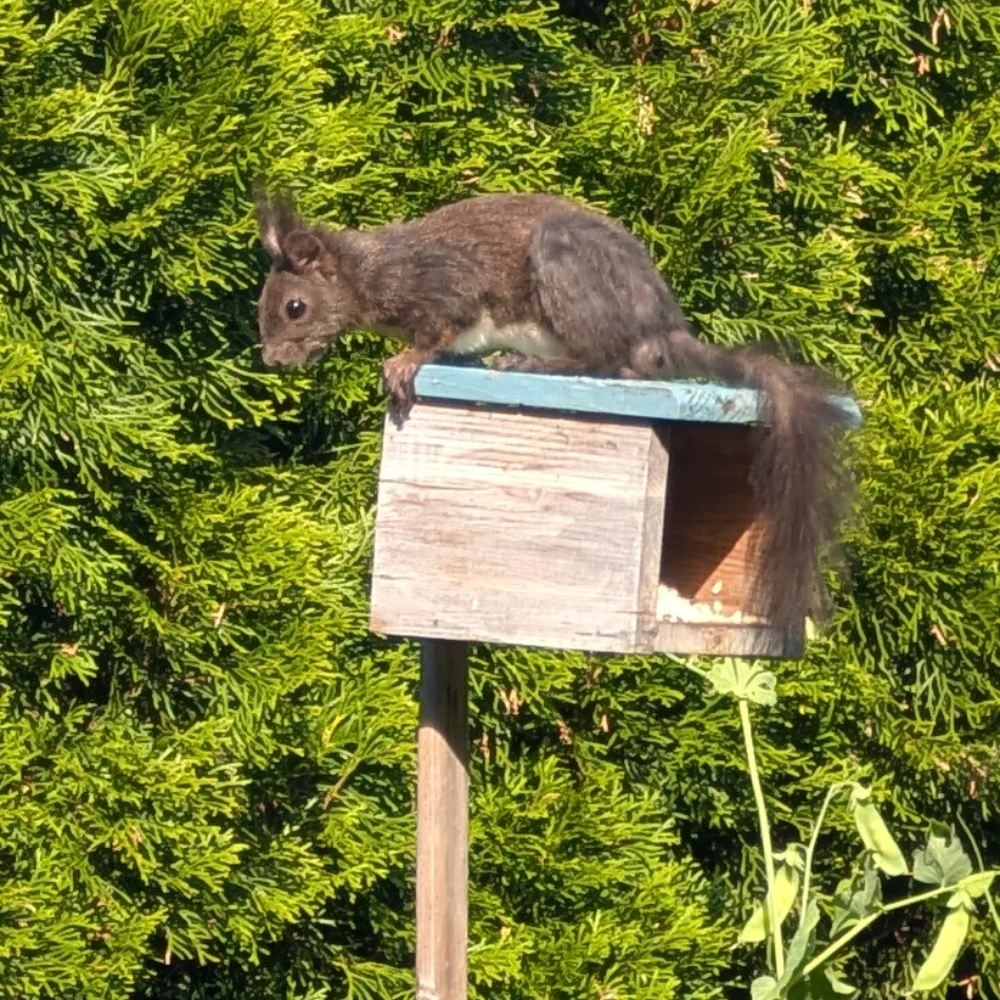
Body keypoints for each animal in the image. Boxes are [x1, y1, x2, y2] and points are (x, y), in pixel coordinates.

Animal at [254, 186, 856, 632]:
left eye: (295, 307)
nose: (273, 360)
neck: (372, 273)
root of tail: (661, 325)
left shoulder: (444, 287)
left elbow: (440, 328)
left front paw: (404, 363)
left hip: (566, 267)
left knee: (609, 361)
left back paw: (535, 363)